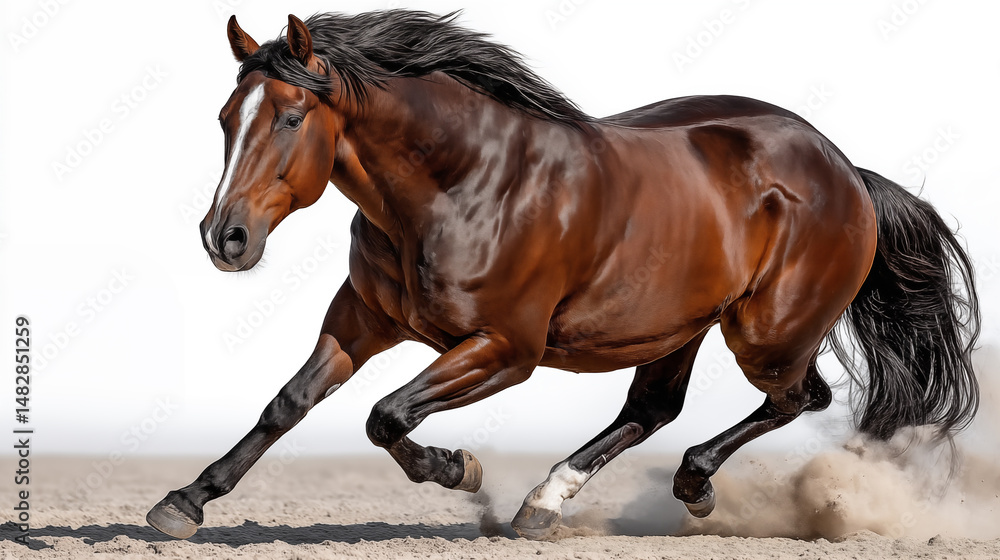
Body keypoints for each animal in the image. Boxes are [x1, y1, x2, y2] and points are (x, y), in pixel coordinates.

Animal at [147, 10, 980, 540]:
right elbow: (288, 404)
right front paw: (184, 502)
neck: (461, 185)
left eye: (292, 118)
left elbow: (387, 415)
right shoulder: (361, 318)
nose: (224, 238)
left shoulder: (506, 349)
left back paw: (689, 486)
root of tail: (845, 168)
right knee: (654, 408)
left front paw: (460, 470)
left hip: (765, 331)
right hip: (678, 325)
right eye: (226, 118)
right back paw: (546, 502)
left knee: (799, 397)